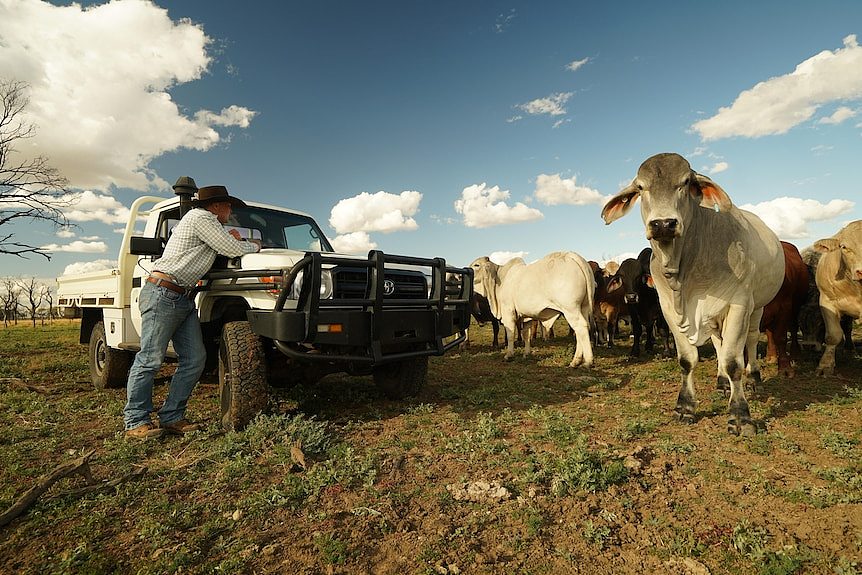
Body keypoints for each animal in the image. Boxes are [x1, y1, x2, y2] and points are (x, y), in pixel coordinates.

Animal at [604, 153, 788, 436]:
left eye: (685, 182)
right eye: (641, 187)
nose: (663, 224)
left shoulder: (739, 304)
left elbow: (734, 362)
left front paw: (740, 416)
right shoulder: (669, 311)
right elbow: (688, 360)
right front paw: (685, 406)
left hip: (757, 305)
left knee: (750, 339)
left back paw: (753, 378)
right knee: (720, 343)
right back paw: (722, 382)